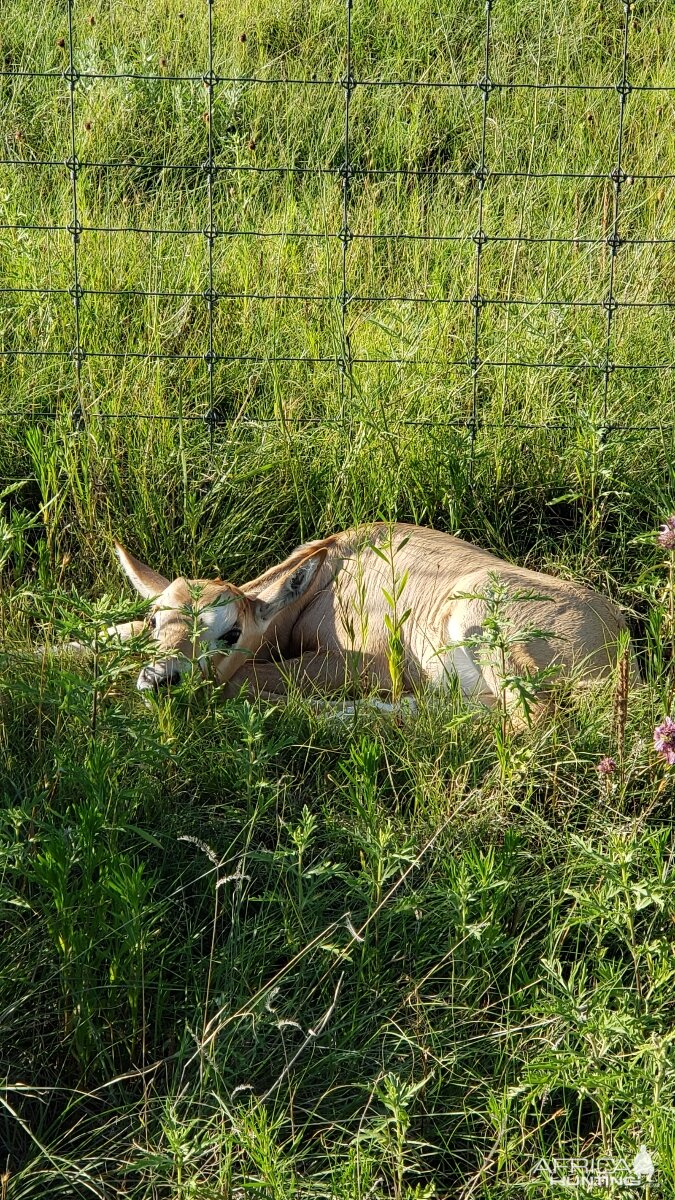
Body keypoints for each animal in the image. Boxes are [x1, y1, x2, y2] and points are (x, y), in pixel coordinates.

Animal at [111, 520, 629, 715]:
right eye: (156, 621)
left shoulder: (367, 662)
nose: (160, 680)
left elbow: (242, 678)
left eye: (231, 631)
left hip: (484, 628)